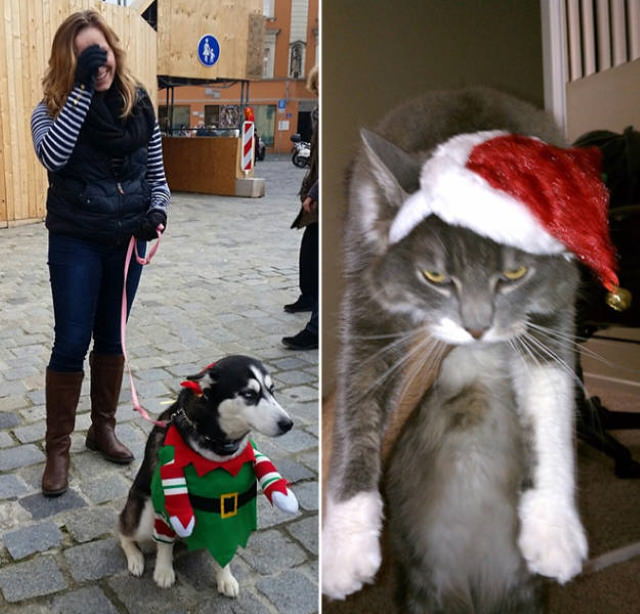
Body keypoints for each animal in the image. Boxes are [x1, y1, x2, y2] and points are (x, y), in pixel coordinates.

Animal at [120, 356, 300, 596]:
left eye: (272, 390)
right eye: (249, 394)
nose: (288, 424)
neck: (219, 447)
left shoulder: (228, 501)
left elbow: (225, 543)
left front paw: (225, 577)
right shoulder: (167, 496)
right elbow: (165, 542)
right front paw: (164, 571)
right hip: (144, 511)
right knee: (125, 532)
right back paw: (136, 558)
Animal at [322, 89, 604, 612]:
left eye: (513, 274)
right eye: (434, 276)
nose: (477, 328)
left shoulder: (555, 303)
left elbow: (551, 407)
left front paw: (554, 531)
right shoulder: (367, 300)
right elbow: (358, 404)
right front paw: (344, 549)